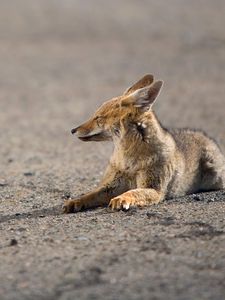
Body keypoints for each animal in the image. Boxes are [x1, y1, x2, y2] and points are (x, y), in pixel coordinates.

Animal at [63, 74, 225, 212]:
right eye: (95, 115)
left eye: (98, 118)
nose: (72, 130)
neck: (129, 161)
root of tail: (204, 135)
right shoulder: (109, 186)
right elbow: (89, 194)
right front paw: (74, 201)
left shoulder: (155, 190)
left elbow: (133, 192)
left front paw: (122, 198)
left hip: (216, 178)